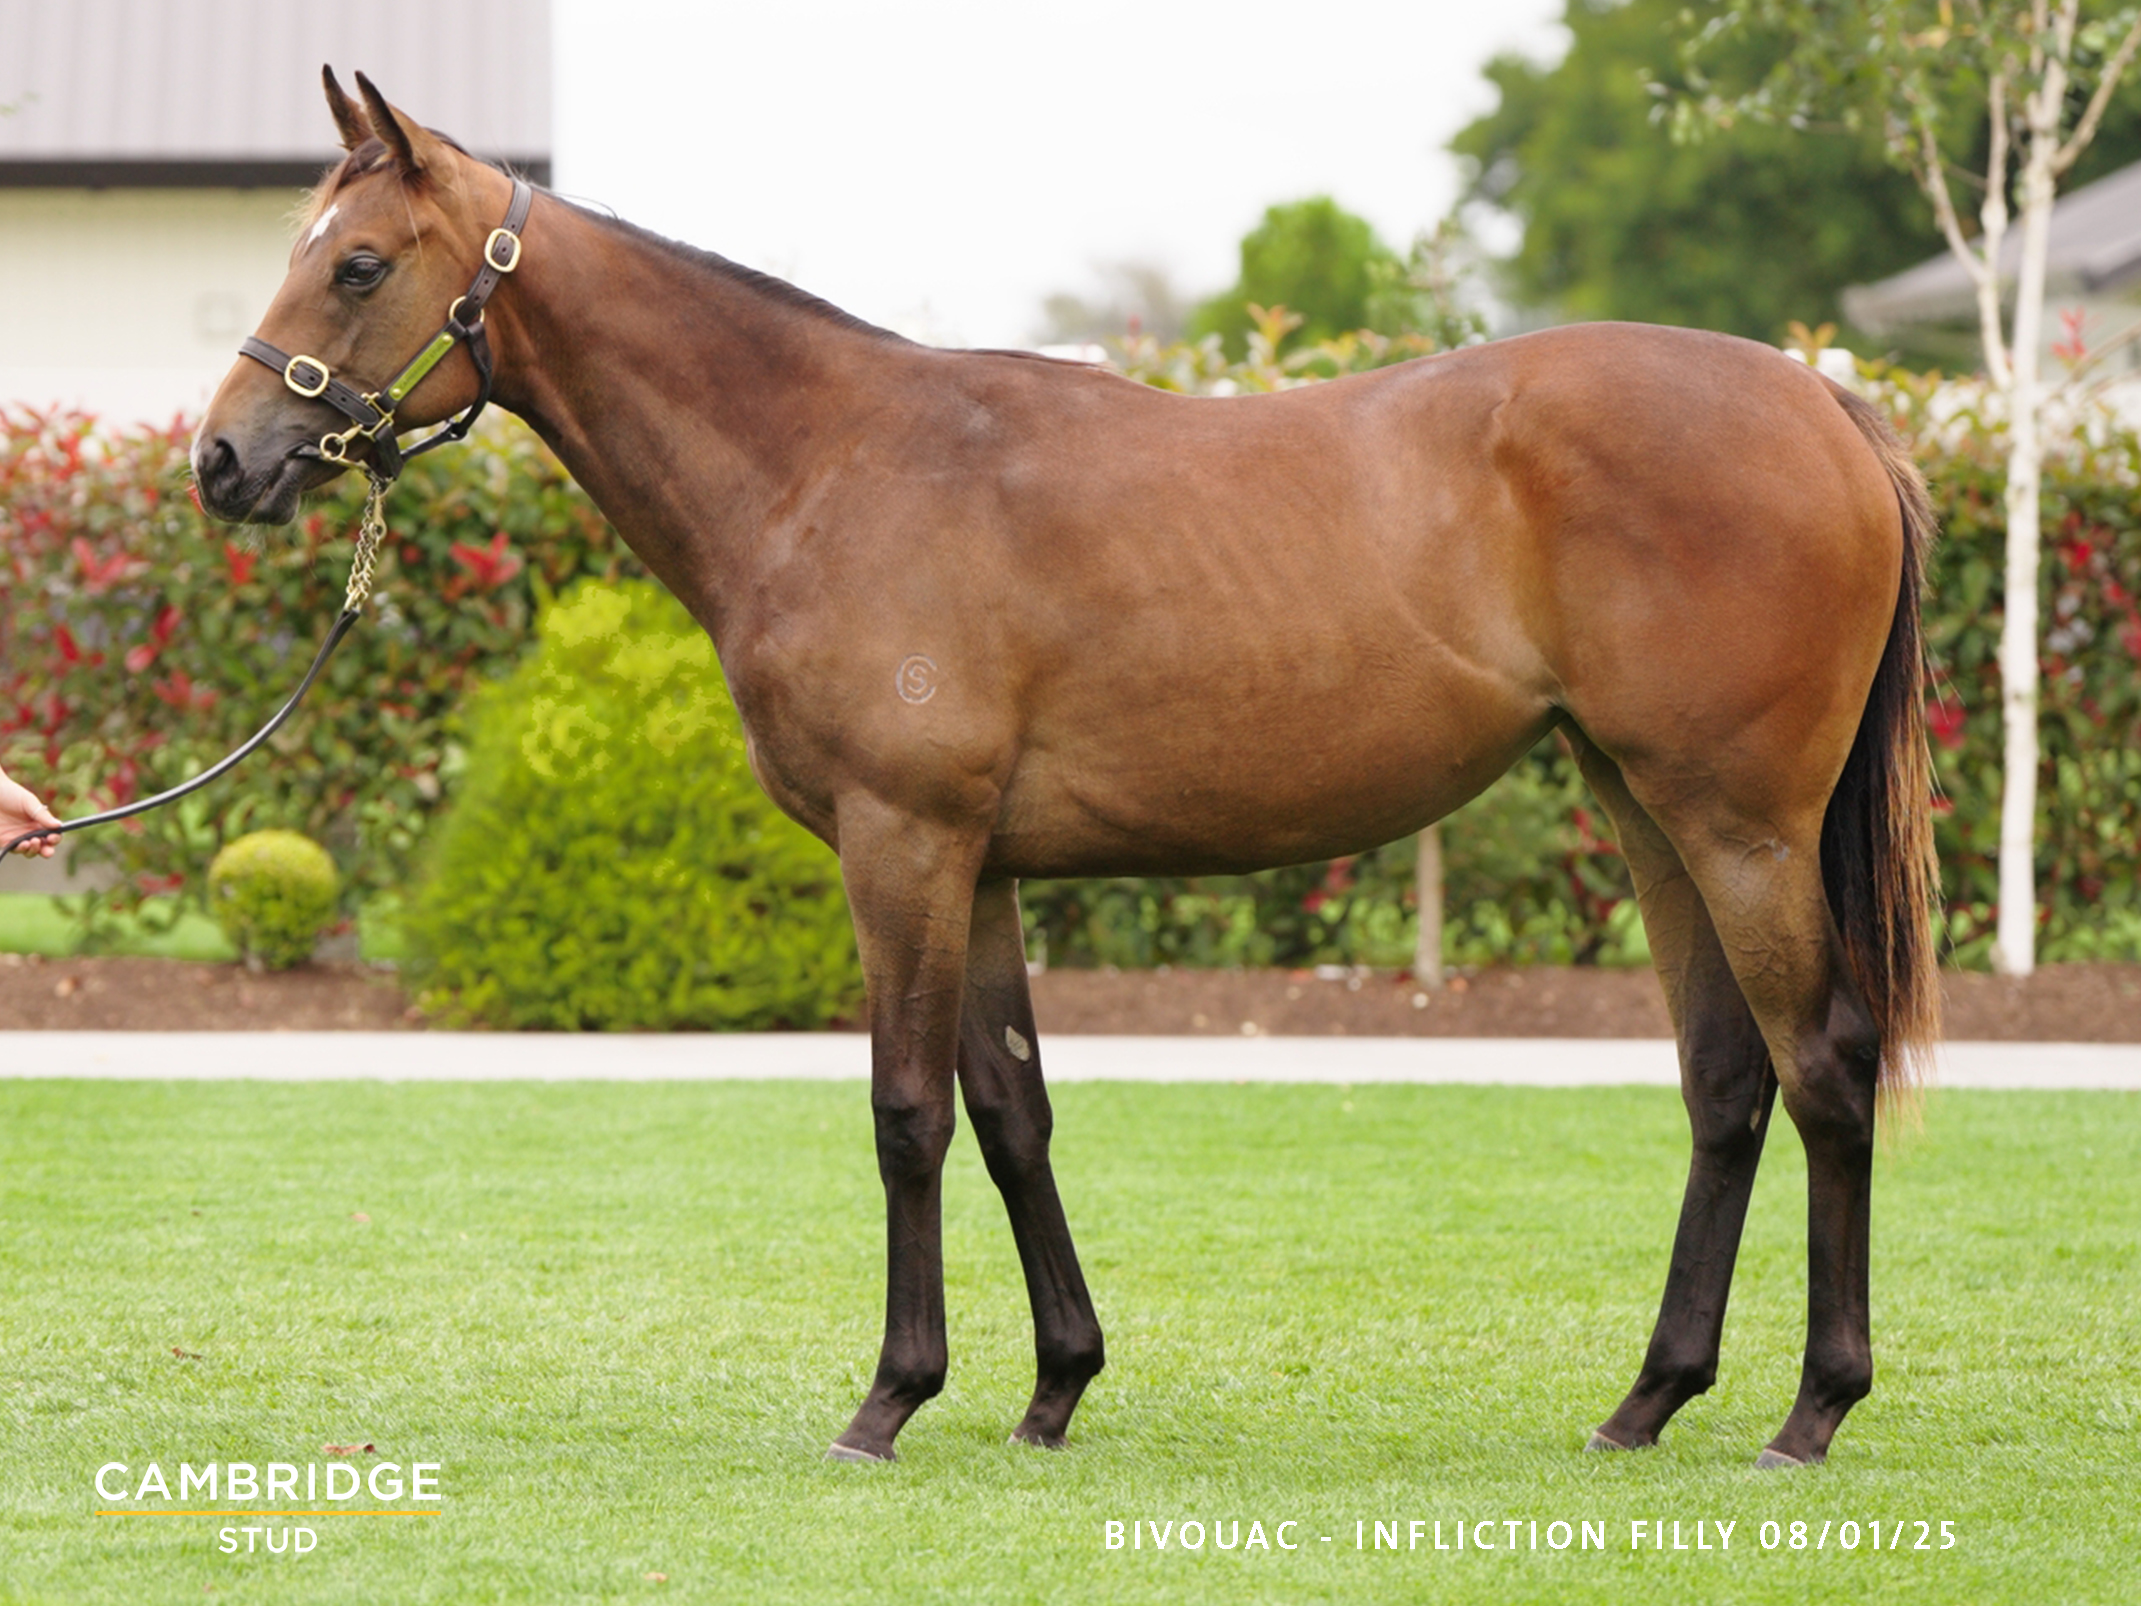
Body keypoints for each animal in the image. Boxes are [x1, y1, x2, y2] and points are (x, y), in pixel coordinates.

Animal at [193, 70, 1939, 1469]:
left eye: (356, 262)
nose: (220, 460)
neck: (832, 461)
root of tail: (1822, 400)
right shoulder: (984, 865)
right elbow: (1012, 1106)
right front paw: (1053, 1386)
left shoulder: (902, 845)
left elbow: (907, 1111)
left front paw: (888, 1399)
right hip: (1648, 811)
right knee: (1725, 1084)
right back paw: (1648, 1398)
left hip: (1742, 826)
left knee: (1825, 1065)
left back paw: (1810, 1410)